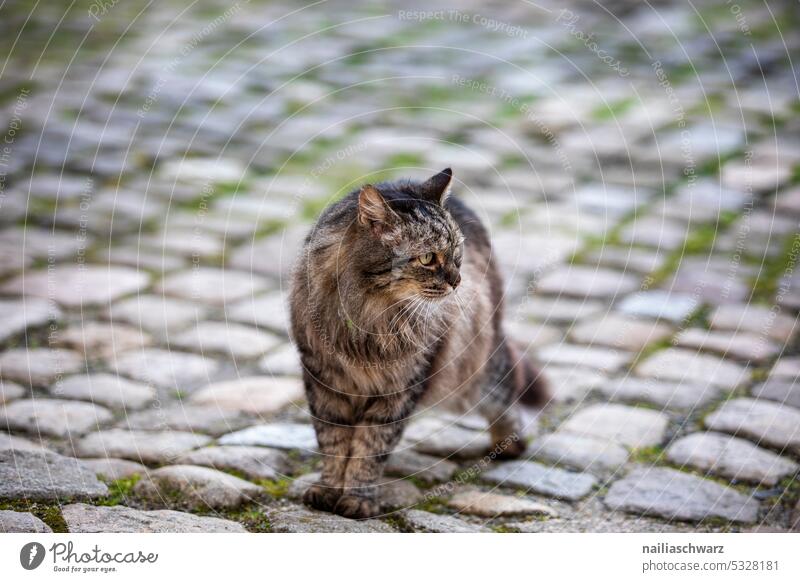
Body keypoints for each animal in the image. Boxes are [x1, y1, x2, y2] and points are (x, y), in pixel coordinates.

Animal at [290, 169, 548, 520]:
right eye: (427, 258)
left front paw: (358, 497)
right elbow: (333, 444)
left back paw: (510, 444)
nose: (456, 281)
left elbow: (370, 448)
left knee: (506, 391)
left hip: (473, 372)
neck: (369, 317)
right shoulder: (324, 382)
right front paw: (329, 489)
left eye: (455, 255)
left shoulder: (400, 389)